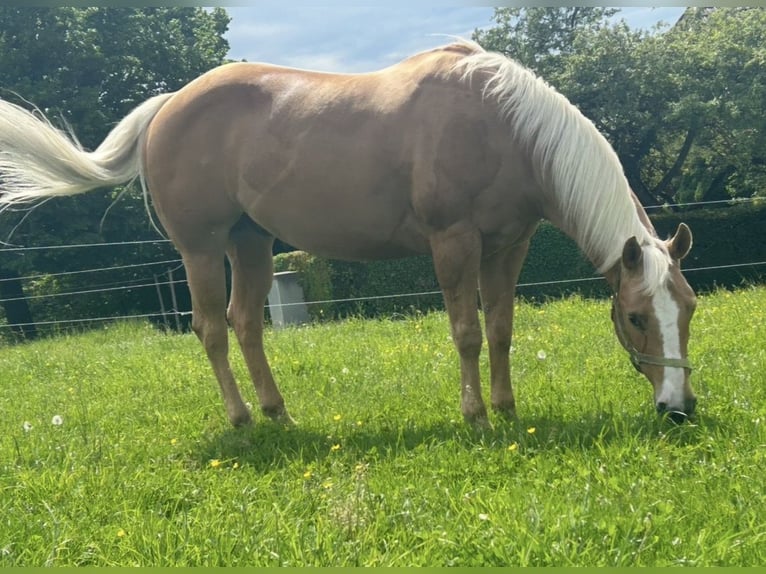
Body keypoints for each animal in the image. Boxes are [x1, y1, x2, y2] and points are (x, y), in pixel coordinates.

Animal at [0, 40, 697, 427]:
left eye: (689, 309)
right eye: (636, 317)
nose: (680, 407)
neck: (503, 124)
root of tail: (167, 103)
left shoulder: (509, 244)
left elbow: (501, 329)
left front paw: (507, 410)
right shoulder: (454, 242)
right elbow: (467, 331)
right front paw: (475, 416)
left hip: (251, 243)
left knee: (246, 323)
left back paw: (279, 412)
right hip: (202, 247)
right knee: (210, 328)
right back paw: (243, 418)